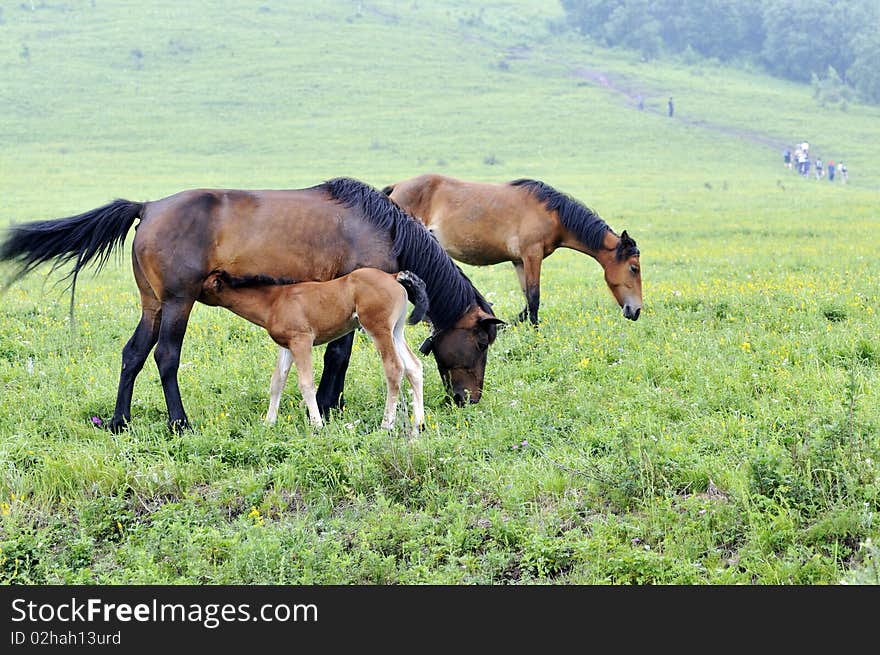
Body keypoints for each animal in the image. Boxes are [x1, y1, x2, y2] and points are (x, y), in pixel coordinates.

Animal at [204, 266, 430, 436]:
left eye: (204, 284)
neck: (275, 301)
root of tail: (393, 276)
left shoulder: (301, 341)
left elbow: (306, 384)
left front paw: (317, 425)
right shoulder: (287, 347)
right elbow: (277, 382)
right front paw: (268, 423)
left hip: (378, 329)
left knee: (394, 369)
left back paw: (386, 425)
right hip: (396, 331)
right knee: (414, 367)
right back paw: (418, 425)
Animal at [382, 174, 644, 326]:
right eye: (633, 268)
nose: (636, 311)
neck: (553, 214)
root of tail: (397, 187)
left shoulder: (519, 261)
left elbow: (527, 295)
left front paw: (518, 322)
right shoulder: (532, 255)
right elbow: (535, 296)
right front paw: (535, 330)